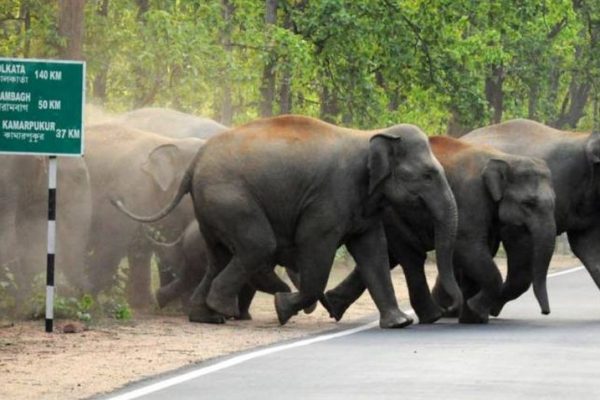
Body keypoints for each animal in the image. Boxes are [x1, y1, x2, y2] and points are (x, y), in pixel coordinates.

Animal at [111, 115, 460, 328]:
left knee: (219, 256)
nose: (451, 308)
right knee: (257, 246)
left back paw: (206, 316)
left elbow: (372, 252)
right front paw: (282, 308)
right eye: (428, 174)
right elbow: (316, 250)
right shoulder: (328, 199)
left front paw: (399, 323)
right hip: (230, 197)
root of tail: (193, 164)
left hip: (210, 209)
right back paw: (224, 310)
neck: (373, 135)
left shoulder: (364, 206)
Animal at [326, 136, 556, 324]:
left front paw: (472, 317)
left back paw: (332, 305)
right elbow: (469, 249)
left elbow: (482, 251)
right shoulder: (471, 199)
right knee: (411, 257)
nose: (546, 312)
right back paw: (433, 316)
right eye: (529, 204)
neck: (504, 158)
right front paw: (473, 310)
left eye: (554, 202)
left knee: (389, 256)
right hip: (393, 213)